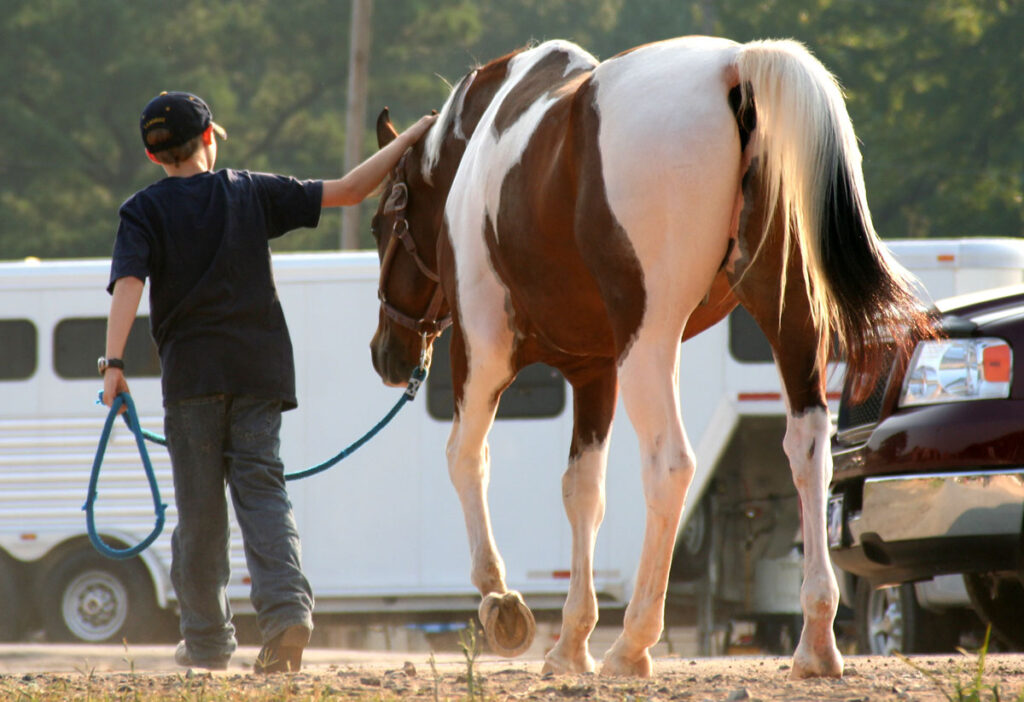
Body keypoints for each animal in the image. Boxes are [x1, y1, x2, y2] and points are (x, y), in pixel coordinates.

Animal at [367, 36, 932, 678]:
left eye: (381, 223)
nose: (385, 354)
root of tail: (736, 67)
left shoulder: (483, 347)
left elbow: (466, 458)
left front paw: (500, 599)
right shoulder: (593, 372)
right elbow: (582, 491)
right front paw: (571, 641)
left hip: (649, 343)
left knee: (670, 466)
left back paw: (634, 641)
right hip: (787, 320)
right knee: (807, 448)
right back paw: (814, 639)